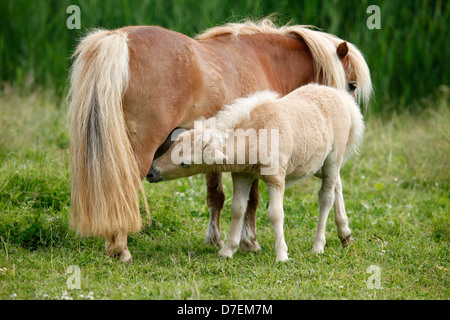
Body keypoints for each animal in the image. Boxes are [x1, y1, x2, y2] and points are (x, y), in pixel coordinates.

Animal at [149, 84, 366, 262]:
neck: (257, 134)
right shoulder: (242, 175)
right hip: (315, 163)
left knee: (326, 196)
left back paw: (318, 245)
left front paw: (282, 255)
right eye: (173, 146)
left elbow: (276, 213)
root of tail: (340, 96)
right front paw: (227, 251)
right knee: (337, 184)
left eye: (185, 164)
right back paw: (345, 233)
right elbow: (237, 209)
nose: (151, 173)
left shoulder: (276, 177)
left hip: (333, 157)